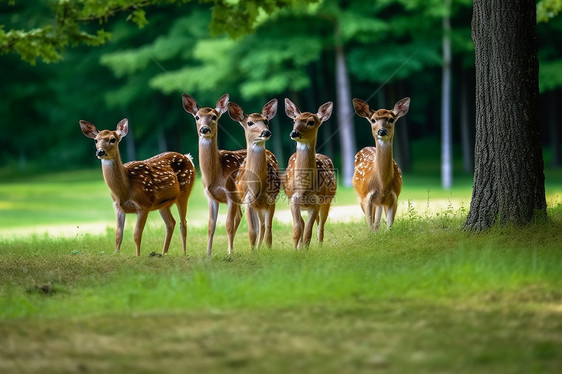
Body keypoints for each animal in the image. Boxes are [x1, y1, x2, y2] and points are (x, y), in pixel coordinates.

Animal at [77, 118, 194, 256]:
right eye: (96, 140)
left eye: (113, 139)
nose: (100, 151)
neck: (126, 188)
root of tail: (188, 157)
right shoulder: (118, 207)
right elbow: (118, 235)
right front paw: (116, 254)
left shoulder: (143, 205)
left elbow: (136, 234)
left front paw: (137, 256)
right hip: (163, 203)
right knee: (171, 223)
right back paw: (163, 253)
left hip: (184, 192)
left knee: (183, 223)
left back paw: (184, 253)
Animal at [182, 93, 245, 258]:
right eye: (197, 117)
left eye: (214, 117)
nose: (204, 129)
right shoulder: (210, 197)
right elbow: (211, 226)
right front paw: (208, 253)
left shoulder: (230, 193)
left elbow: (228, 224)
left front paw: (229, 253)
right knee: (240, 216)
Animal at [226, 98, 280, 248]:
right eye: (250, 123)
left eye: (266, 121)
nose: (266, 132)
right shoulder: (248, 200)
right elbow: (252, 233)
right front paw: (253, 251)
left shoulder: (271, 198)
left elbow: (268, 233)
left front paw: (268, 250)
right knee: (259, 227)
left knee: (263, 227)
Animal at [282, 98, 334, 248]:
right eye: (294, 120)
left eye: (311, 122)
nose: (294, 133)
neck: (303, 188)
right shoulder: (293, 200)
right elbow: (297, 230)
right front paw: (296, 250)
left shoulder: (316, 201)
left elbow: (308, 233)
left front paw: (305, 249)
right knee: (305, 224)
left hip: (327, 200)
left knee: (320, 225)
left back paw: (320, 246)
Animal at [352, 96, 410, 231]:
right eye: (373, 120)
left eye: (391, 119)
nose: (381, 131)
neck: (382, 185)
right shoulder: (367, 198)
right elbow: (370, 226)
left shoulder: (394, 198)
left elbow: (389, 227)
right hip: (360, 197)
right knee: (373, 222)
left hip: (380, 203)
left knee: (377, 221)